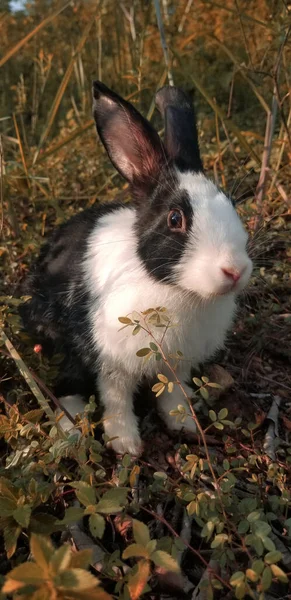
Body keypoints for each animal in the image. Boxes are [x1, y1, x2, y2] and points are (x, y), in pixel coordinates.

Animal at [20, 81, 253, 454]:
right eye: (175, 219)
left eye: (232, 205)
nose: (234, 271)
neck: (175, 288)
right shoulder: (110, 361)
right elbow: (116, 398)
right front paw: (125, 444)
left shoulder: (176, 365)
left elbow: (172, 393)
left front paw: (185, 424)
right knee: (66, 386)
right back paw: (72, 428)